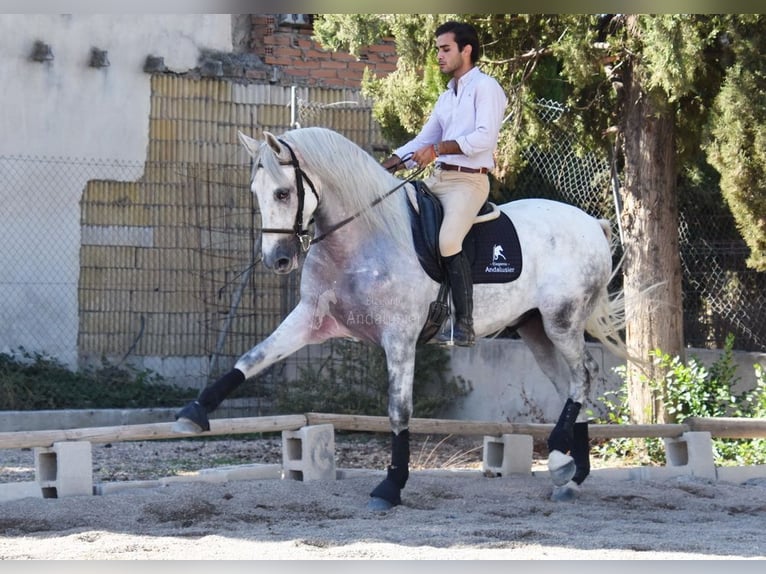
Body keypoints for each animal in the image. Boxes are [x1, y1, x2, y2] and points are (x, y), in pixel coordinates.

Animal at [173, 126, 627, 509]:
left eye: (284, 193)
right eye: (256, 191)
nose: (277, 260)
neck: (361, 237)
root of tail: (592, 222)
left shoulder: (400, 337)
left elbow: (399, 411)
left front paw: (391, 486)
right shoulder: (311, 318)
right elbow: (252, 359)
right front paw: (193, 414)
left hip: (561, 320)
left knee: (583, 377)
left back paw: (559, 459)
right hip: (534, 329)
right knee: (572, 383)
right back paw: (571, 474)